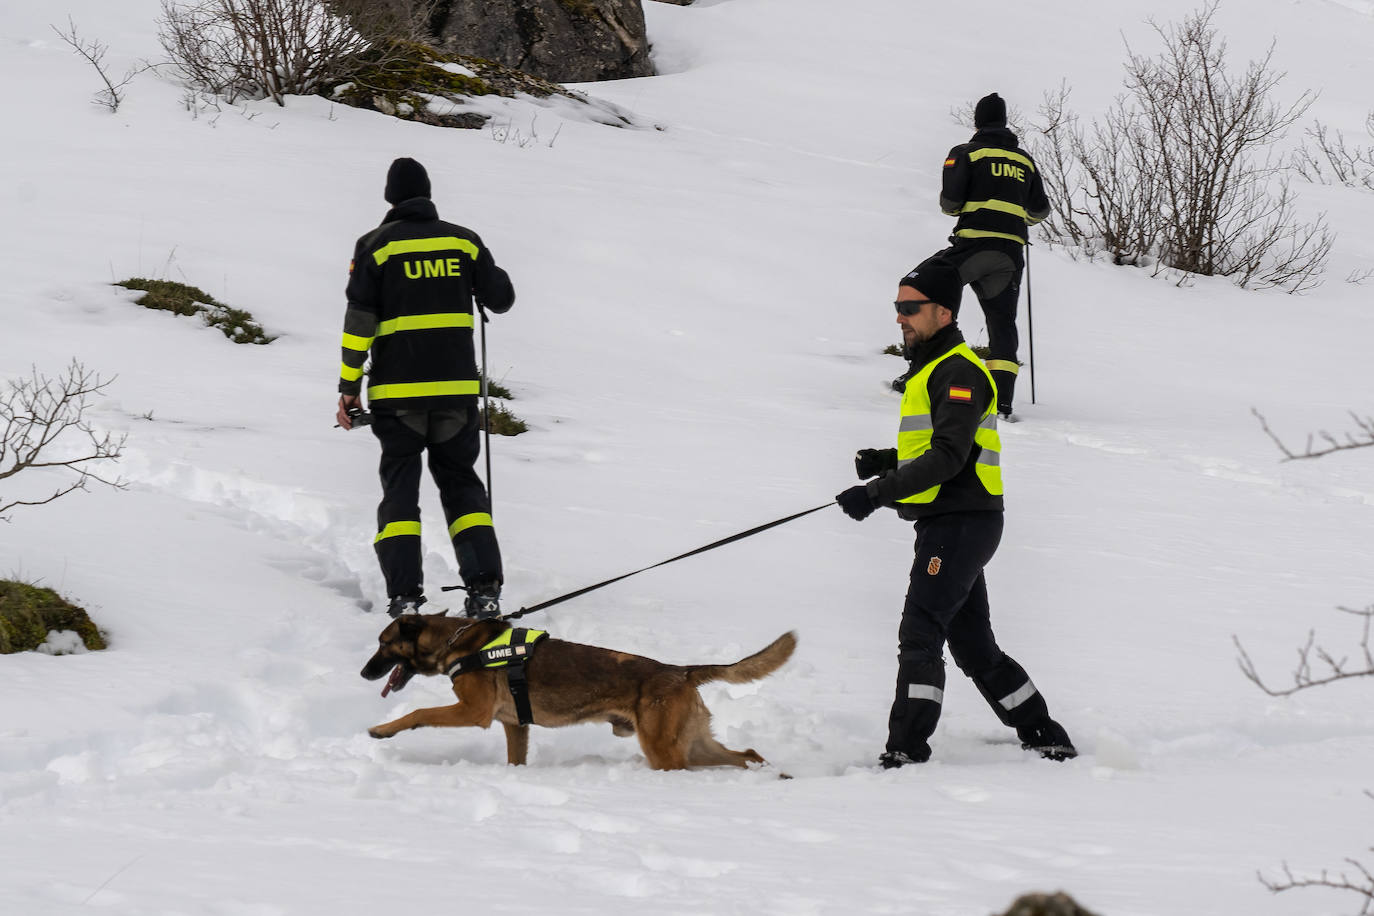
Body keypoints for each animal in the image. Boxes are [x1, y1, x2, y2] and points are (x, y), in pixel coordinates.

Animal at [359, 612, 802, 769]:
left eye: (383, 644)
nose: (363, 673)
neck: (457, 641)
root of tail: (680, 671)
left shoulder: (473, 712)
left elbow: (418, 714)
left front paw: (382, 730)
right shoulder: (514, 725)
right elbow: (516, 759)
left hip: (663, 749)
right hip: (693, 744)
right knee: (747, 754)